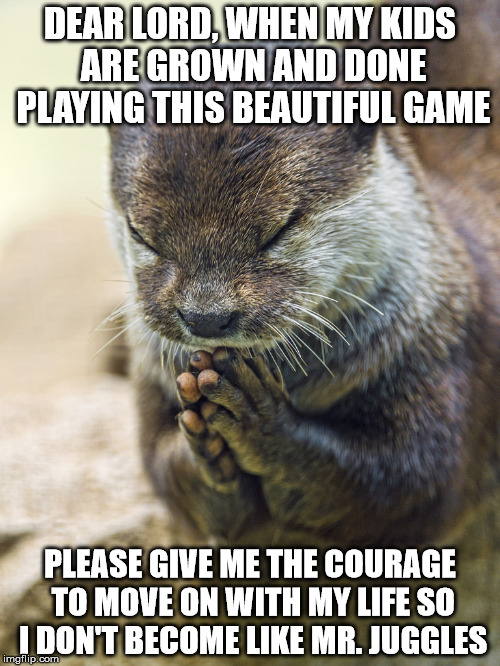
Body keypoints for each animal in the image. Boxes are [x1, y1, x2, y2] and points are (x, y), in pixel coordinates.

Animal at [107, 5, 500, 547]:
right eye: (142, 234)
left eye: (278, 229)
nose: (206, 318)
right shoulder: (150, 381)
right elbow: (169, 474)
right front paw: (202, 443)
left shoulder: (446, 351)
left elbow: (410, 483)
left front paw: (260, 421)